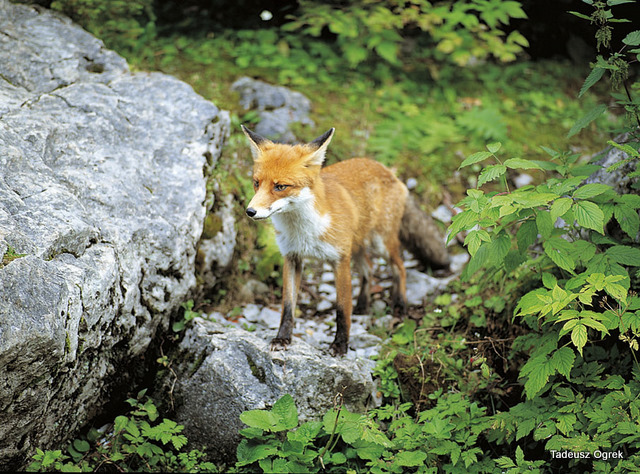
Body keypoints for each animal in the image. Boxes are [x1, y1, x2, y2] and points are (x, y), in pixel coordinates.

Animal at [241, 125, 450, 355]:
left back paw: (400, 305)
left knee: (400, 268)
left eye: (280, 187)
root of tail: (388, 171)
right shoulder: (292, 258)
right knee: (369, 268)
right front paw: (282, 338)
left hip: (381, 243)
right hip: (357, 247)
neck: (305, 231)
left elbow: (342, 310)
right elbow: (287, 306)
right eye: (256, 183)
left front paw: (340, 344)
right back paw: (362, 305)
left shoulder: (340, 260)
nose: (250, 211)